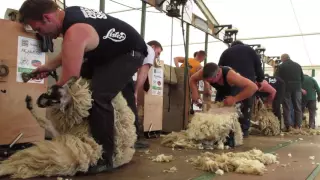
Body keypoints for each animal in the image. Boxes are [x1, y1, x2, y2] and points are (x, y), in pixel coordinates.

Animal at [0, 76, 136, 178]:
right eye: (49, 91)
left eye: (54, 100)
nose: (39, 100)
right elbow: (47, 123)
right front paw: (30, 103)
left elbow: (45, 122)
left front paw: (30, 104)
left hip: (51, 152)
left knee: (15, 163)